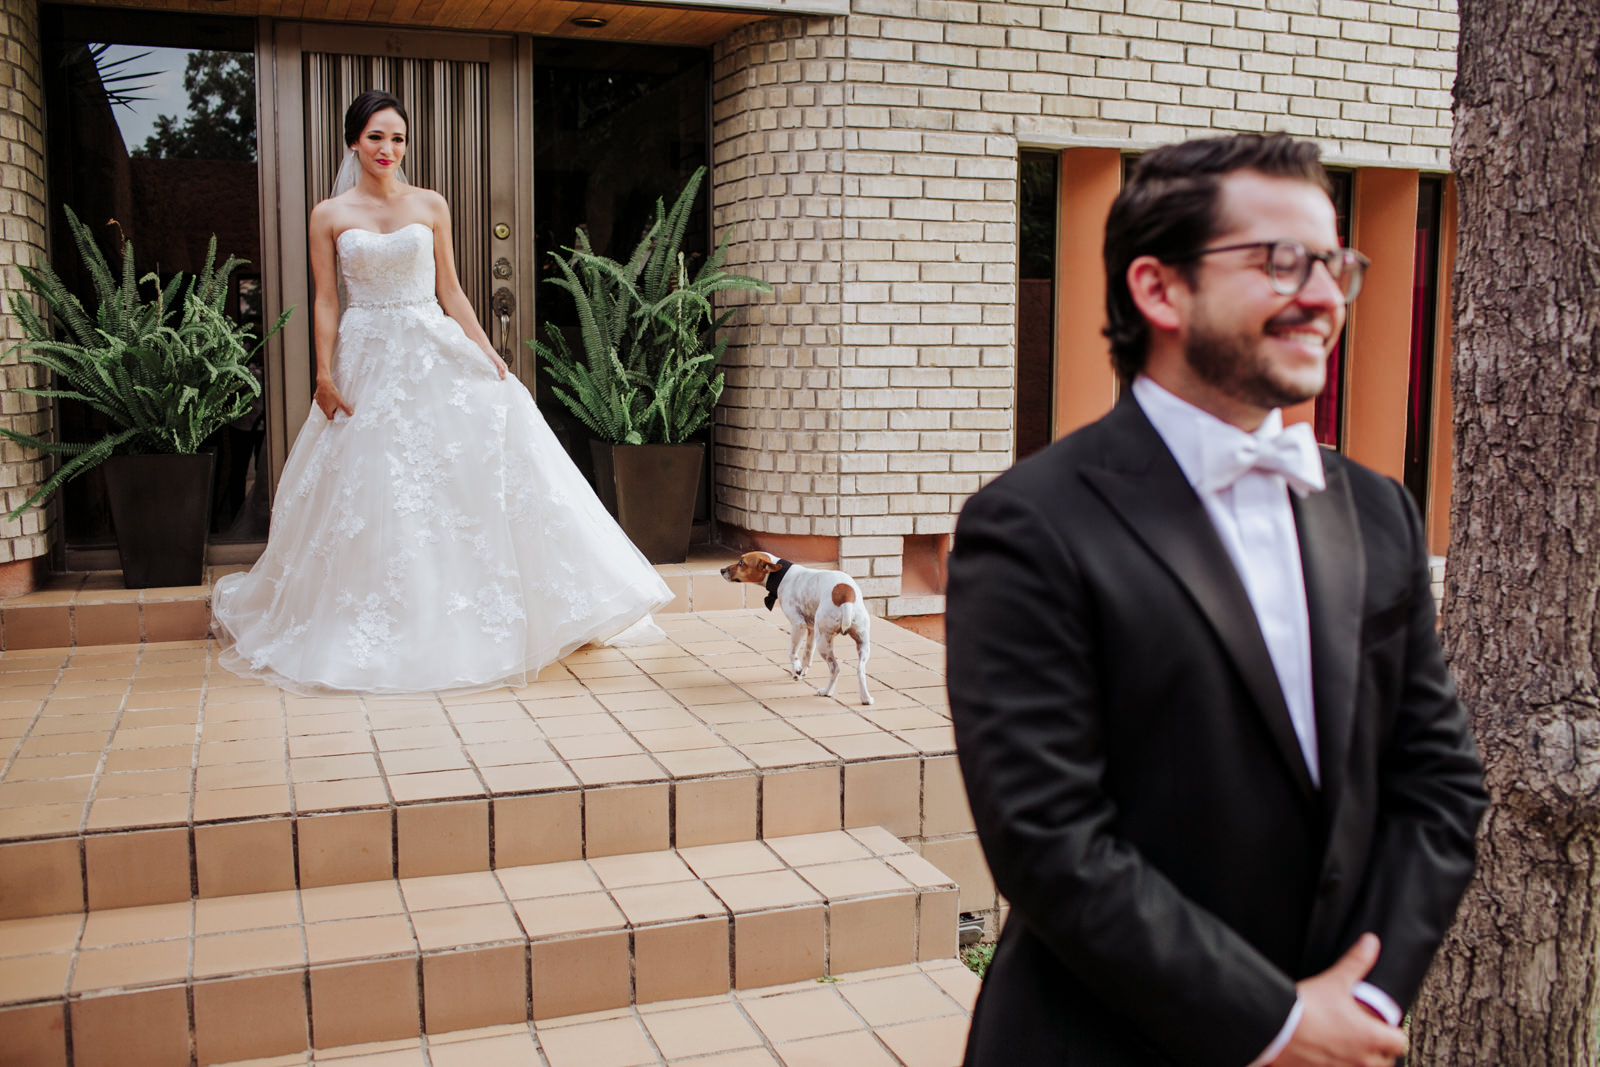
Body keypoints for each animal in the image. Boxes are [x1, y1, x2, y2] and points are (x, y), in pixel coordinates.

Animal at [723, 556, 876, 703]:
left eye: (741, 562)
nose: (722, 570)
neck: (782, 575)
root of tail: (846, 600)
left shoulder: (798, 625)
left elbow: (792, 652)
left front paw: (796, 669)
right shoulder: (812, 629)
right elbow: (807, 654)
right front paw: (801, 671)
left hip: (824, 643)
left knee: (835, 669)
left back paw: (827, 692)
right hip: (861, 644)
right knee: (860, 671)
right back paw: (865, 698)